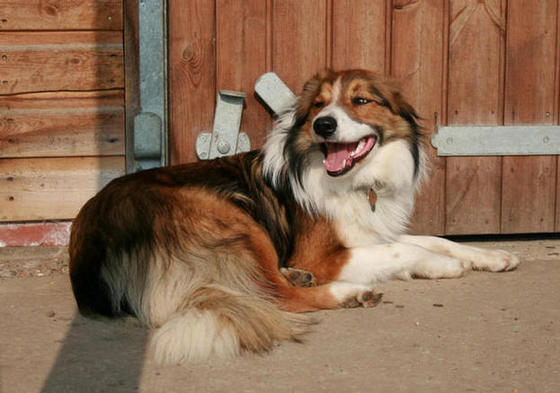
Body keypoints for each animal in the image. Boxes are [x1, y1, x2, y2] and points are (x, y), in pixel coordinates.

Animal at [69, 69, 520, 362]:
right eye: (319, 105)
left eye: (361, 101)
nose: (324, 125)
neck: (358, 181)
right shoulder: (324, 254)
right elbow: (405, 251)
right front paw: (443, 265)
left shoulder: (367, 232)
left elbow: (429, 239)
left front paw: (491, 256)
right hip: (233, 214)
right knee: (276, 295)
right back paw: (348, 293)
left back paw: (299, 277)